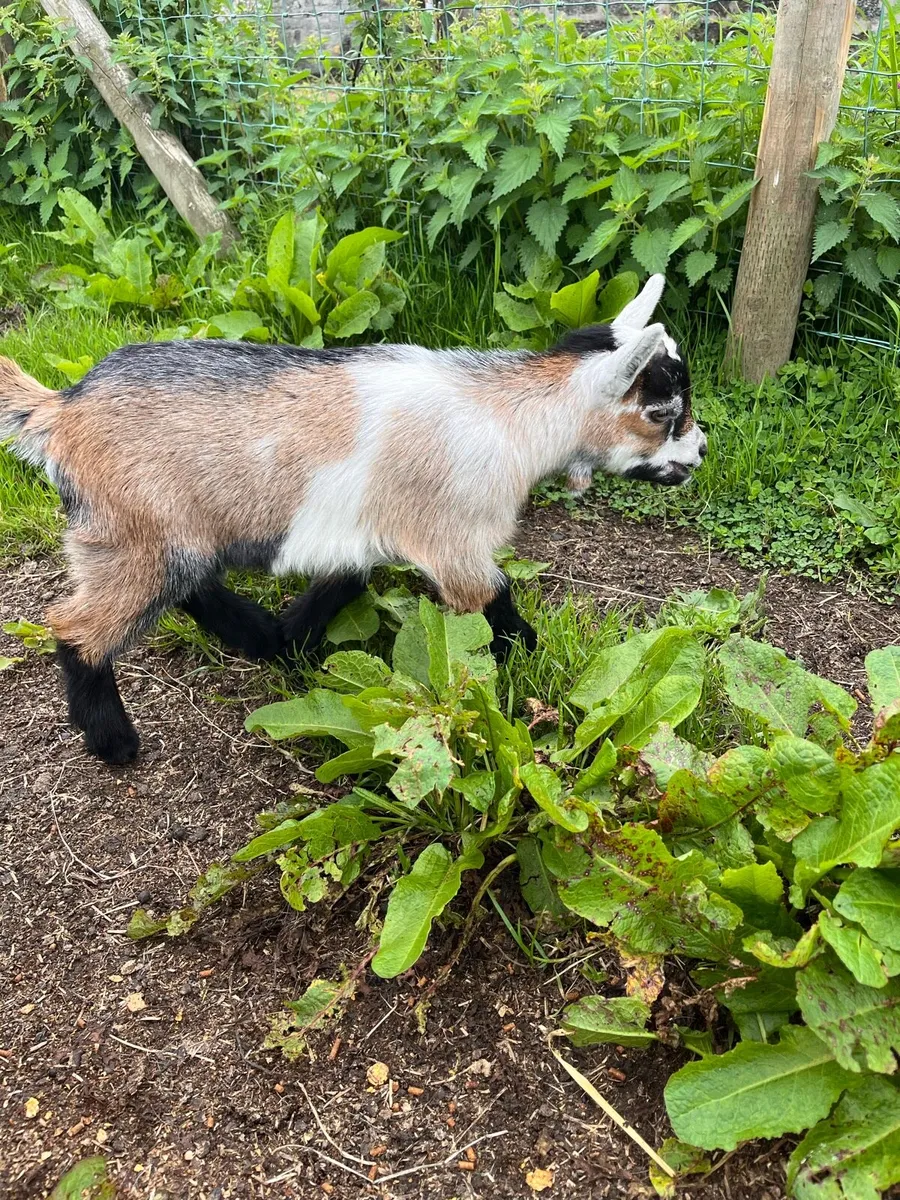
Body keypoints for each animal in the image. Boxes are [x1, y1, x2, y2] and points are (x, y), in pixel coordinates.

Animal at [0, 274, 705, 765]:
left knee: (191, 585)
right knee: (76, 625)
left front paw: (293, 647)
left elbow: (342, 584)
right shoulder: (455, 543)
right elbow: (494, 603)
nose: (699, 452)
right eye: (663, 412)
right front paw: (526, 674)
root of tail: (61, 408)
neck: (512, 418)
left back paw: (259, 637)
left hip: (169, 533)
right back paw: (113, 741)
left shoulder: (357, 532)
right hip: (131, 536)